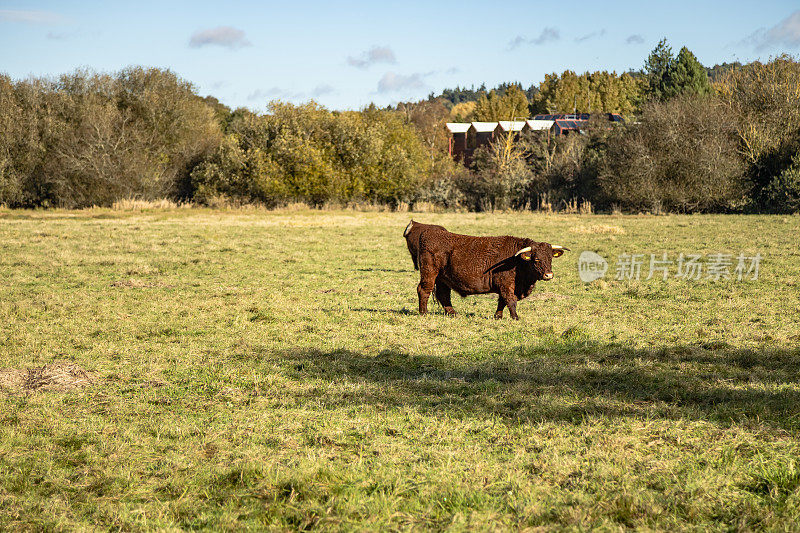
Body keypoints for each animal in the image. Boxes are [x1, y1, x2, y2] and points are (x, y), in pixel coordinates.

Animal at [416, 230, 564, 320]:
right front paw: (515, 317)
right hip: (429, 274)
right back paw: (423, 313)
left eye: (550, 258)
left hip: (442, 278)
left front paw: (498, 316)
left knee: (443, 295)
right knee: (423, 290)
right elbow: (510, 300)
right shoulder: (506, 284)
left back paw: (453, 314)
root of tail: (429, 233)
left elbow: (502, 301)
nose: (549, 275)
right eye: (536, 259)